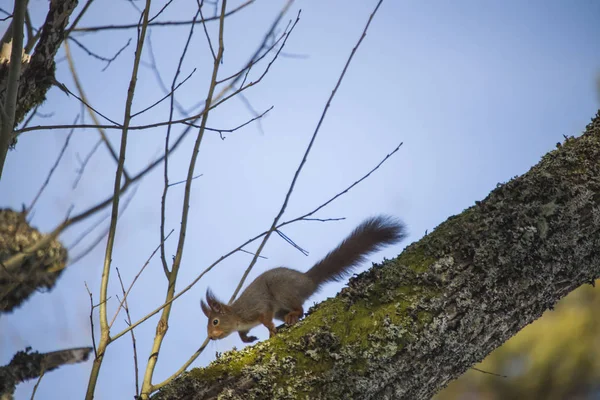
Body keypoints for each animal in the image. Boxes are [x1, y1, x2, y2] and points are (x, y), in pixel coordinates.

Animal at [203, 216, 408, 344]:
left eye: (215, 322)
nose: (211, 337)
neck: (237, 315)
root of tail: (308, 280)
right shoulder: (244, 325)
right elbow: (242, 335)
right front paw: (248, 340)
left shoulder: (257, 307)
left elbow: (265, 316)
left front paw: (270, 329)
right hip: (282, 307)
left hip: (283, 292)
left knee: (300, 308)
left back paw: (293, 315)